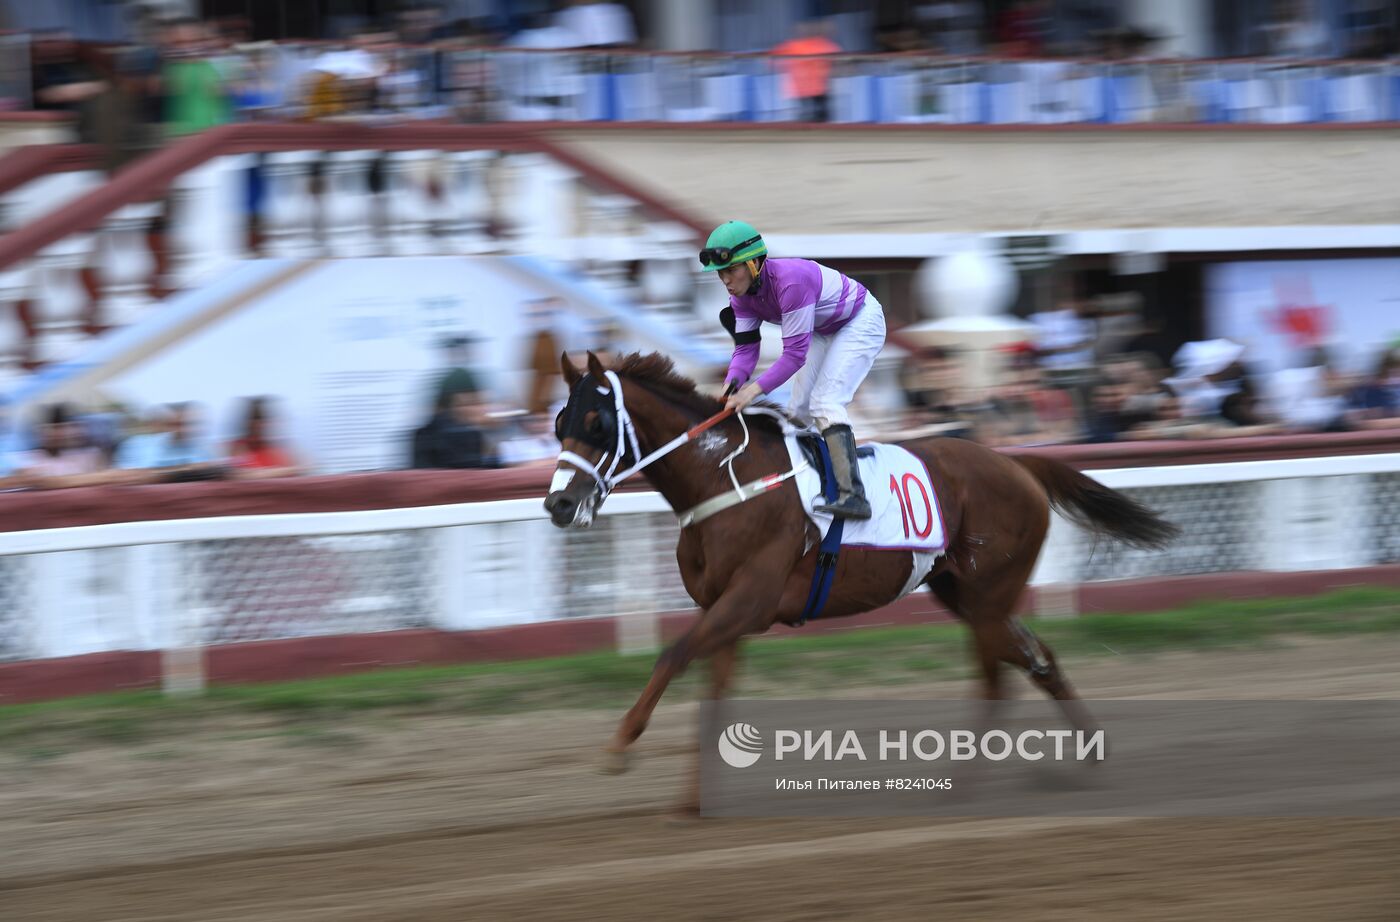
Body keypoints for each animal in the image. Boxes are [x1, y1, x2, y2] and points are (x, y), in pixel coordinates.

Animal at [540, 351, 1176, 800]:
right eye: (559, 421)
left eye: (597, 422)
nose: (559, 505)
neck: (725, 479)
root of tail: (1015, 462)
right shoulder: (721, 611)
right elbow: (713, 694)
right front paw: (694, 801)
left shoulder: (748, 602)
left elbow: (671, 656)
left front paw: (620, 747)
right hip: (965, 592)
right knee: (1033, 658)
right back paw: (1074, 757)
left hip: (988, 593)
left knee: (1004, 672)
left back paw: (970, 784)